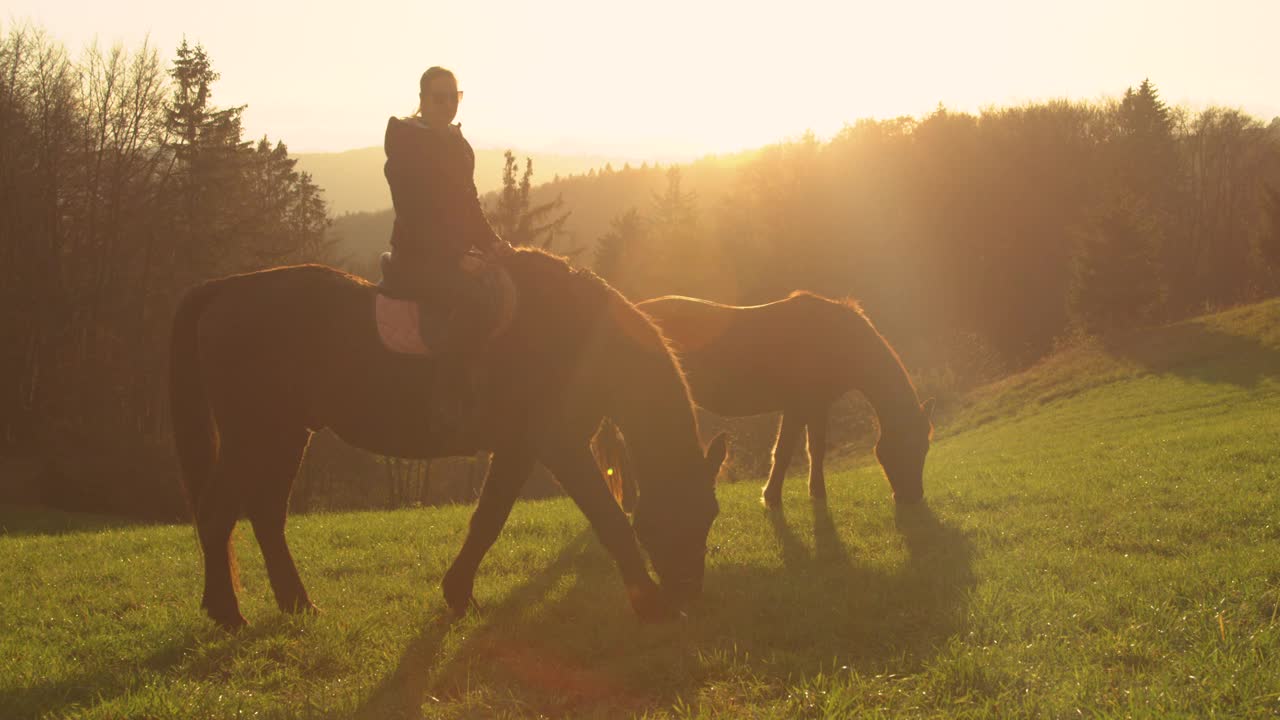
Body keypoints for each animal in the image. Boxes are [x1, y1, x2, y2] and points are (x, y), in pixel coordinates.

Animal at [170, 248, 727, 627]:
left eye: (711, 515)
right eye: (673, 516)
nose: (688, 594)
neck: (572, 334)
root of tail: (227, 289)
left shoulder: (519, 449)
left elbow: (488, 520)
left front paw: (458, 593)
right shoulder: (560, 448)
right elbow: (610, 521)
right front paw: (650, 604)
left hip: (285, 434)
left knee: (266, 516)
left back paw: (297, 604)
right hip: (252, 436)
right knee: (218, 514)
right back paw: (227, 612)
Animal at [604, 289, 936, 504]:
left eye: (925, 448)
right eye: (907, 447)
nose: (912, 497)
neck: (835, 337)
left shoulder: (816, 406)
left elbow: (815, 449)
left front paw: (817, 492)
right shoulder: (798, 406)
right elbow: (785, 451)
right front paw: (771, 496)